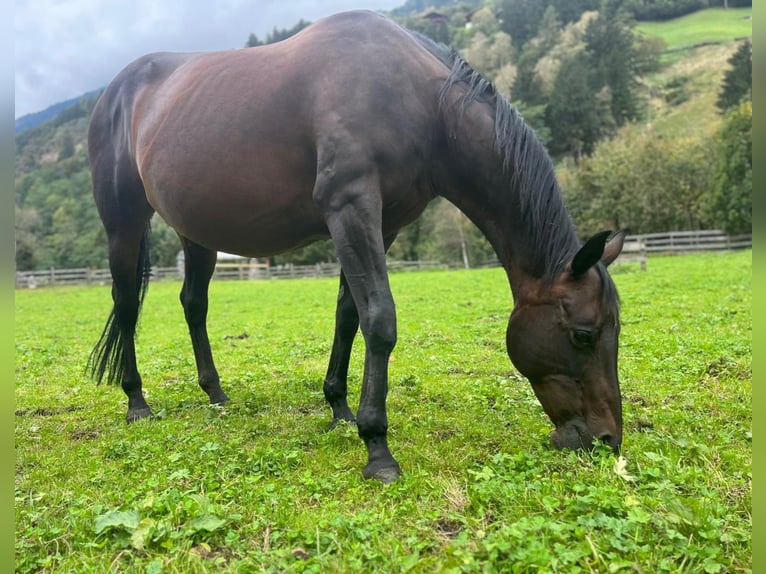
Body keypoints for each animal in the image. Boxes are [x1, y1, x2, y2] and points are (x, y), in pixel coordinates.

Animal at [88, 11, 632, 484]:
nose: (608, 439)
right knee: (126, 306)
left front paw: (339, 408)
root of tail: (116, 90)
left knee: (193, 305)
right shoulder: (351, 208)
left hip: (197, 233)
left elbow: (349, 314)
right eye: (584, 335)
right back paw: (137, 402)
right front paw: (378, 448)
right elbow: (380, 319)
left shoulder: (382, 224)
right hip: (124, 225)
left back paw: (216, 394)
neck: (420, 103)